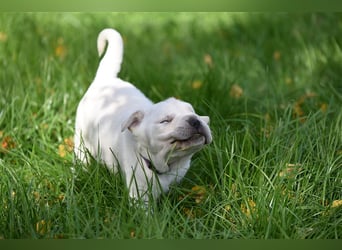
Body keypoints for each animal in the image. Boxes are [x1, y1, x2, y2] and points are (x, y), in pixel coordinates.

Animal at [75, 27, 211, 203]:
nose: (195, 121)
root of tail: (105, 79)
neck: (164, 165)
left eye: (193, 113)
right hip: (81, 138)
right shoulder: (139, 193)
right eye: (165, 121)